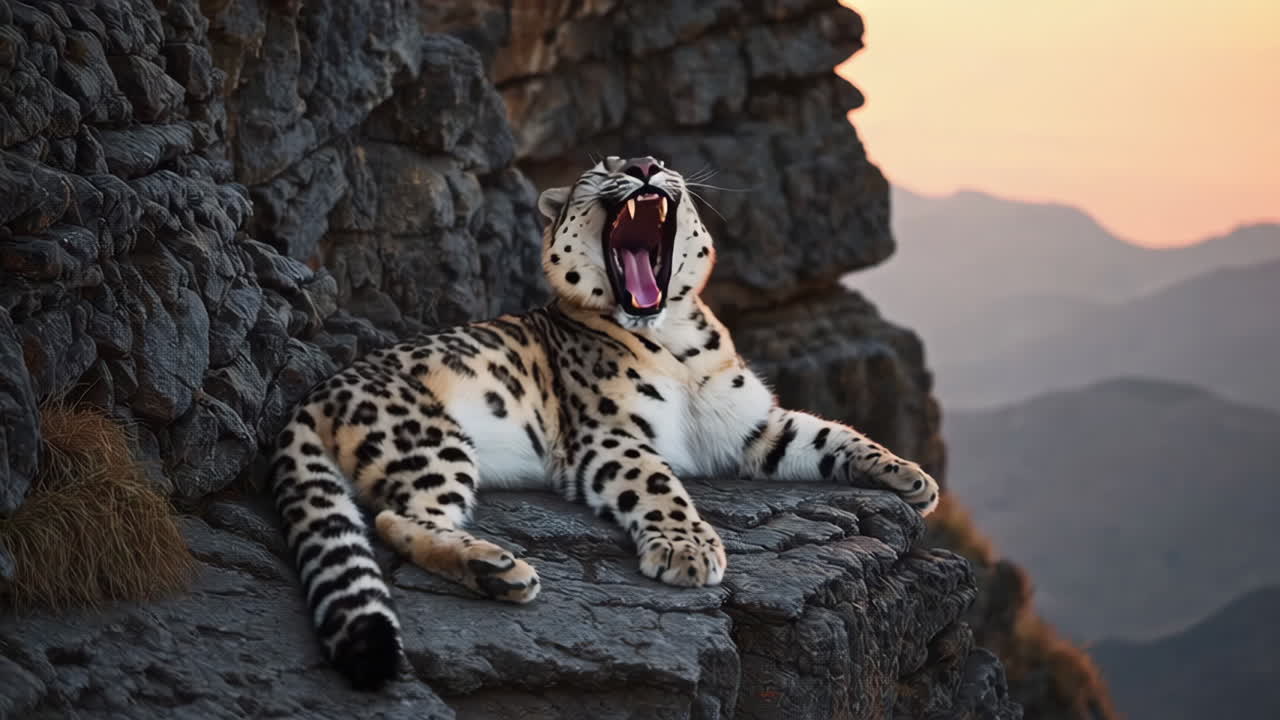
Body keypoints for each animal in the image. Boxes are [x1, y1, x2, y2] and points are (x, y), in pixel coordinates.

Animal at [269, 156, 940, 690]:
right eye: (603, 167)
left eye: (661, 162)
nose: (644, 165)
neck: (678, 338)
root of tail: (310, 398)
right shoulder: (609, 436)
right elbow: (659, 486)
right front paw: (688, 550)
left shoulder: (749, 427)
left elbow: (831, 432)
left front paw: (912, 477)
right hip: (430, 439)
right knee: (393, 517)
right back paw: (500, 568)